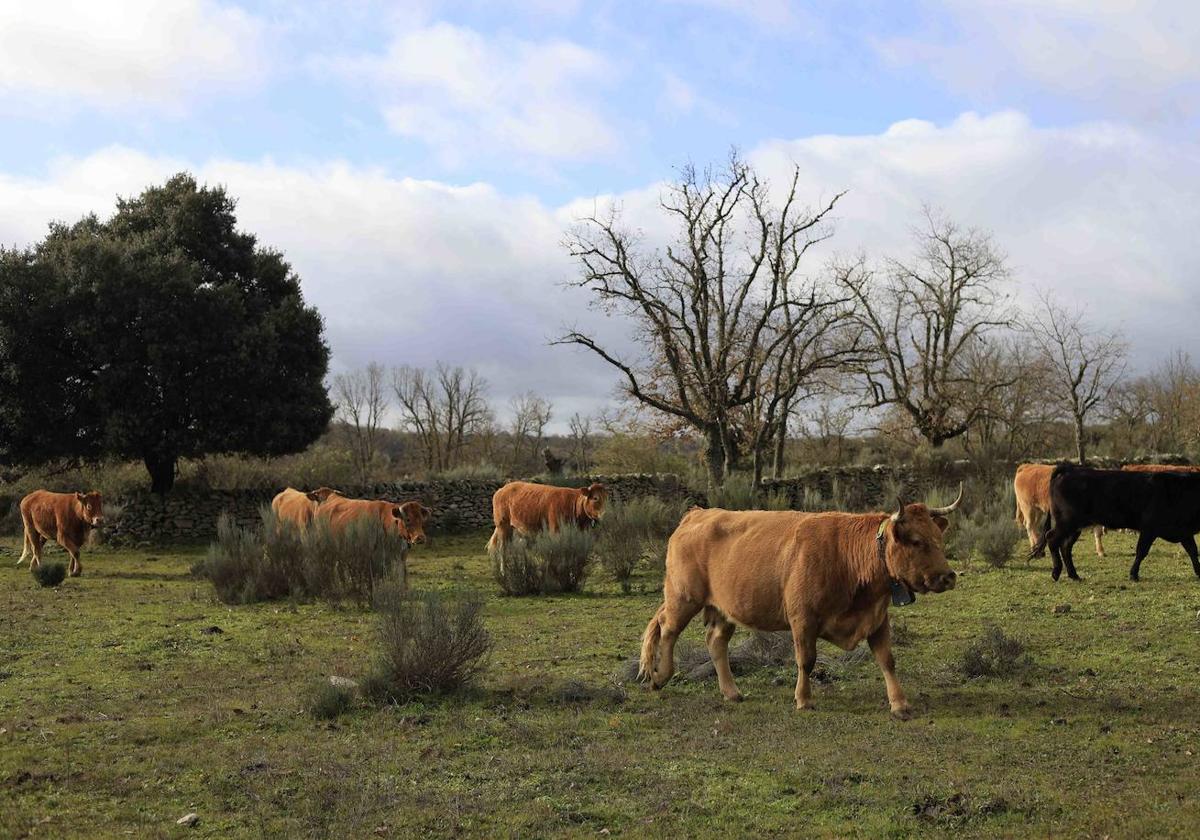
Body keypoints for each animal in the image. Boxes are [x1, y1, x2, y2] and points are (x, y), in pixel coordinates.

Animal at [638, 489, 964, 720]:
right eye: (917, 541)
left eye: (938, 538)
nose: (948, 576)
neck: (847, 555)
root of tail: (697, 514)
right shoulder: (803, 619)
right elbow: (806, 660)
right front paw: (804, 699)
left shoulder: (877, 619)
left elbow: (887, 660)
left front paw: (900, 704)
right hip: (683, 597)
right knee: (667, 629)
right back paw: (659, 677)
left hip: (723, 609)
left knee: (715, 642)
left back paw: (732, 692)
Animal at [1027, 458, 1200, 583]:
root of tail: (1069, 470)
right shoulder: (1149, 529)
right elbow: (1141, 551)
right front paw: (1133, 575)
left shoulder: (1184, 532)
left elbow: (1193, 551)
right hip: (1067, 522)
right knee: (1052, 539)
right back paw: (1056, 572)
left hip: (1076, 526)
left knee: (1065, 547)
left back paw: (1074, 575)